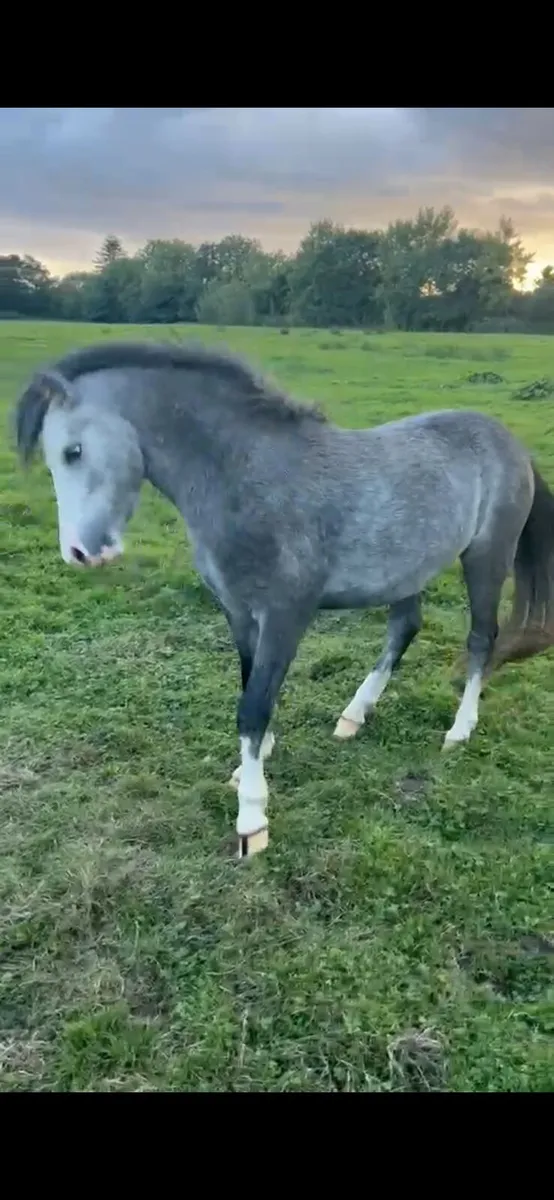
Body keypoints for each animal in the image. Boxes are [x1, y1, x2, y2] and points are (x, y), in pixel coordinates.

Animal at [14, 340, 554, 858]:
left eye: (73, 451)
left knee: (482, 639)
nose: (82, 553)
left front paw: (252, 821)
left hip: (486, 558)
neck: (247, 475)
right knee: (404, 629)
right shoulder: (239, 612)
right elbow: (252, 687)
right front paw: (252, 763)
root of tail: (511, 443)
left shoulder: (285, 615)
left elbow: (253, 706)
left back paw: (459, 731)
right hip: (407, 570)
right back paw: (353, 715)